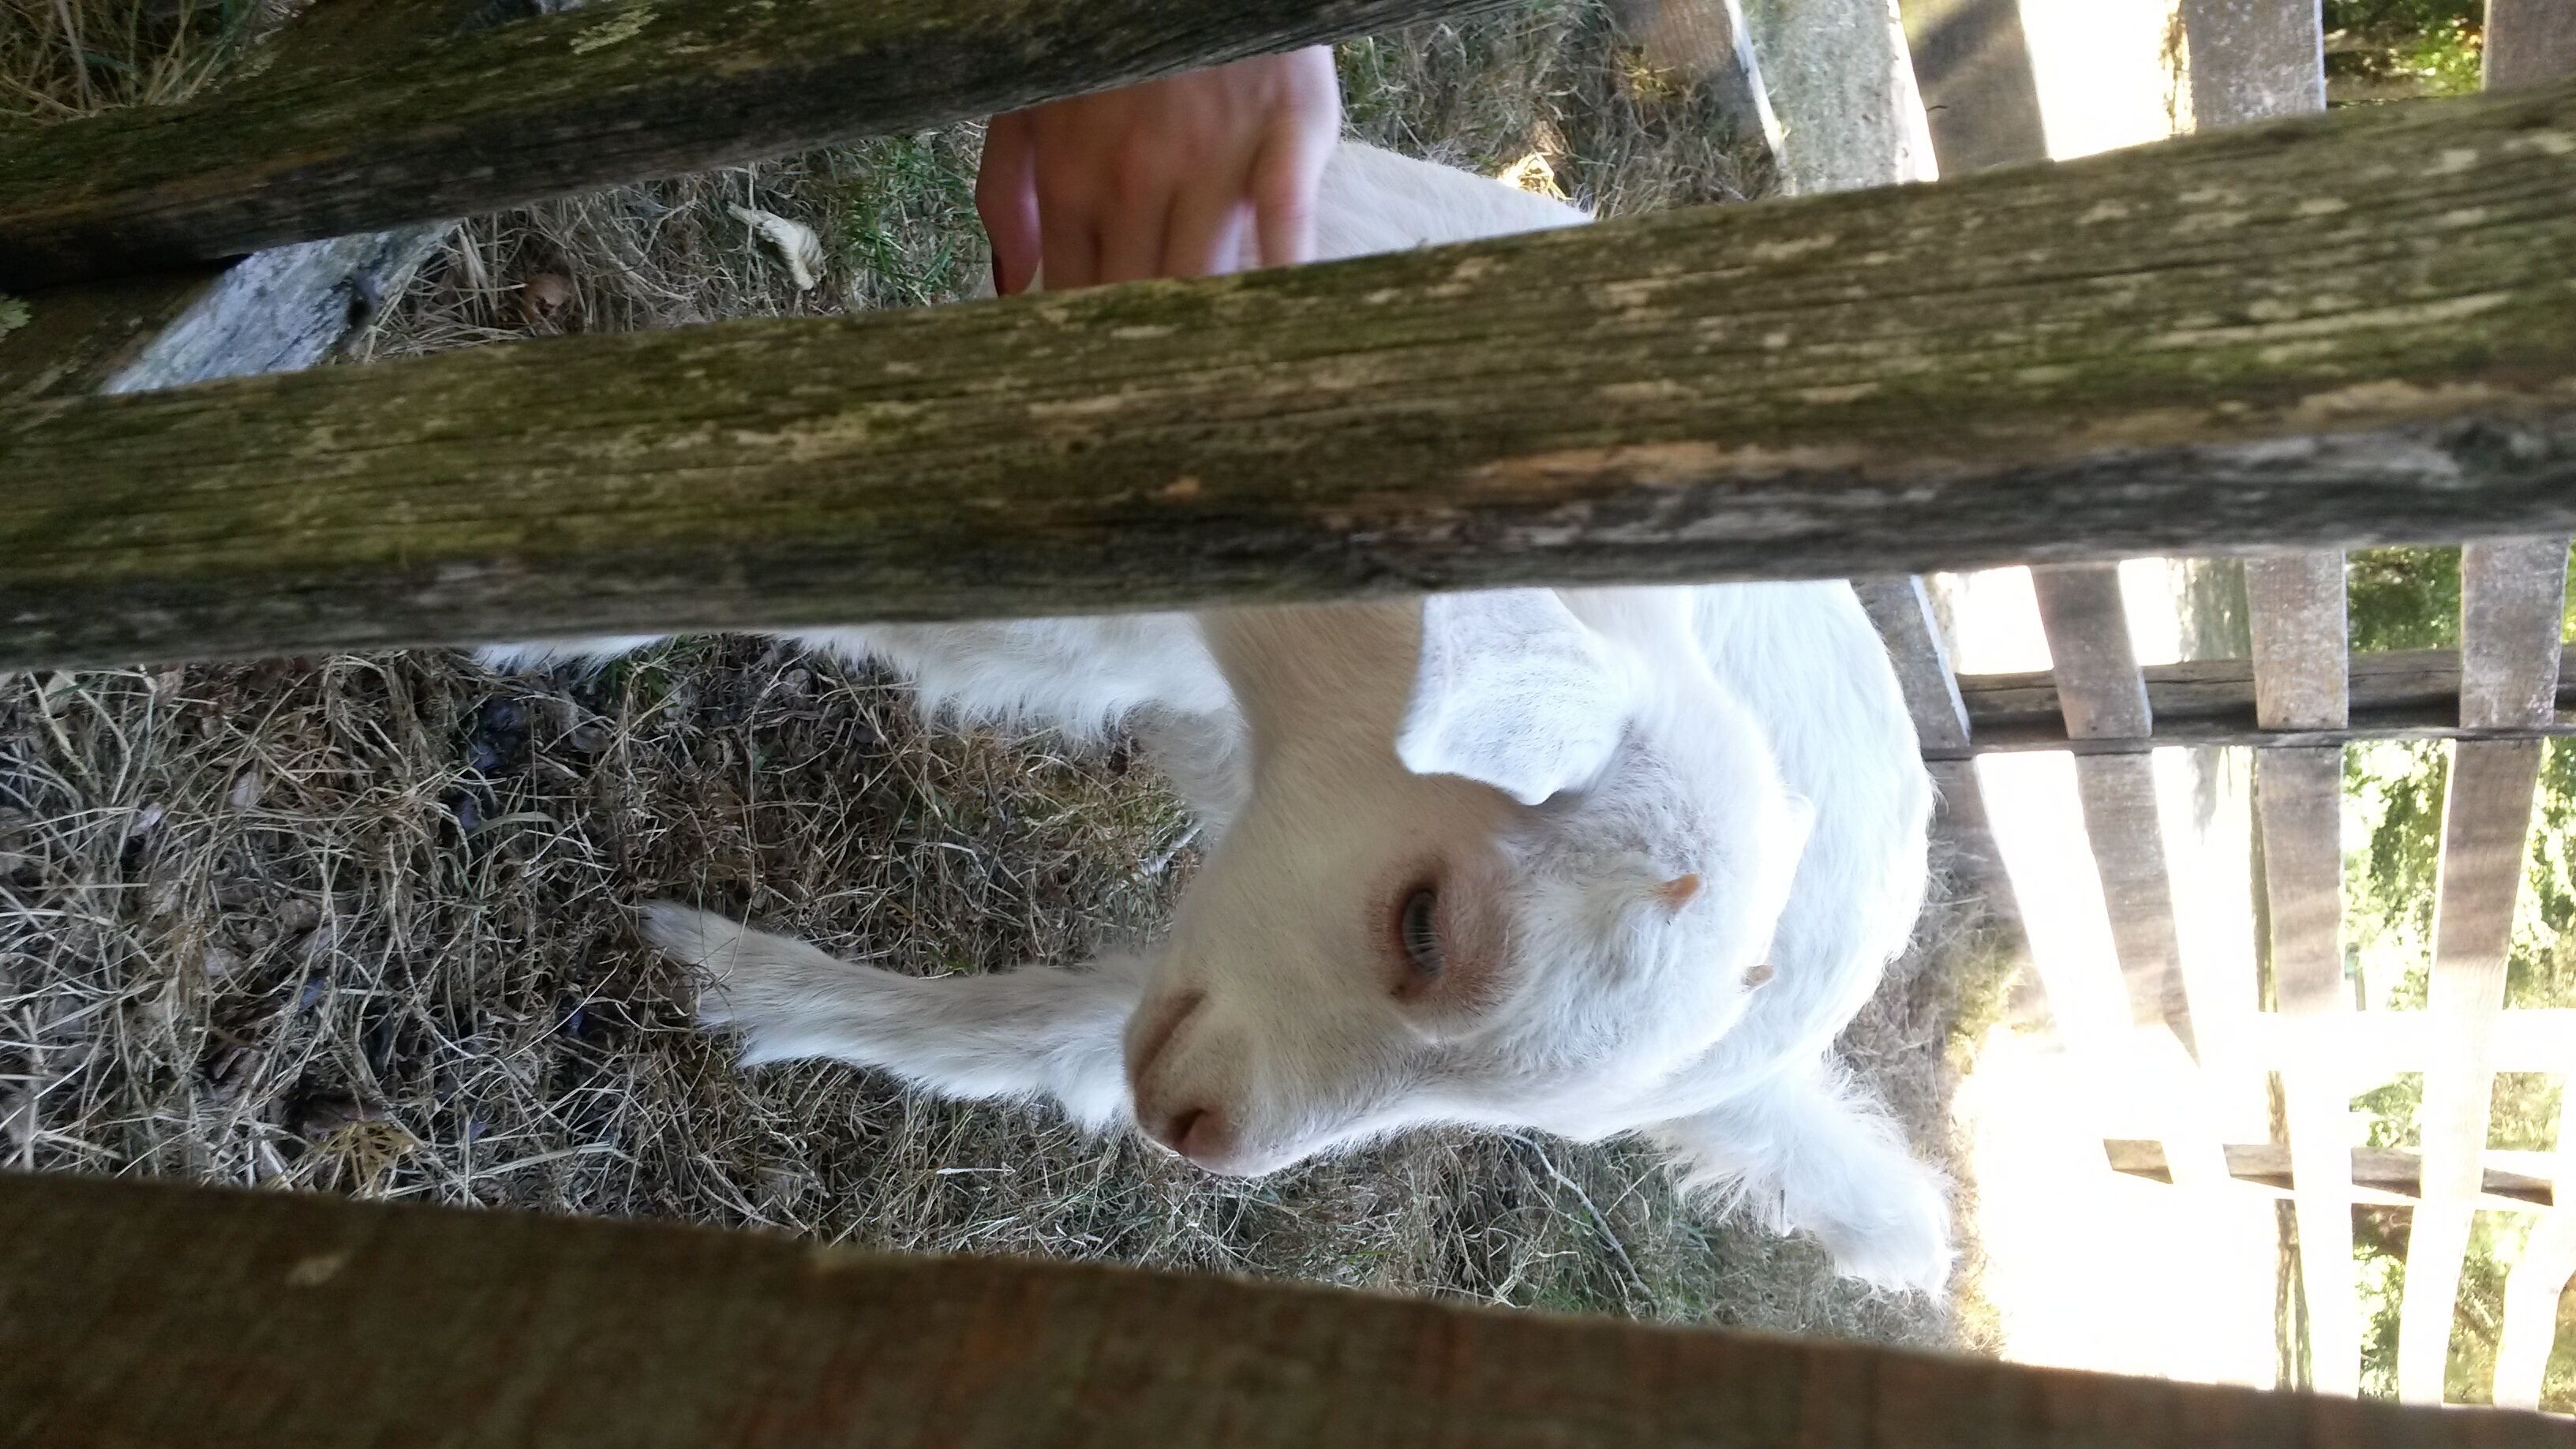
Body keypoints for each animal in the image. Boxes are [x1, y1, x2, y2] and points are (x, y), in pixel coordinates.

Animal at [488, 142, 1951, 1293]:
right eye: (1424, 924)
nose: (1202, 1138)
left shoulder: (1099, 617)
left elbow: (918, 612)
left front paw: (532, 618)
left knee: (1059, 1042)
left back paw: (749, 986)